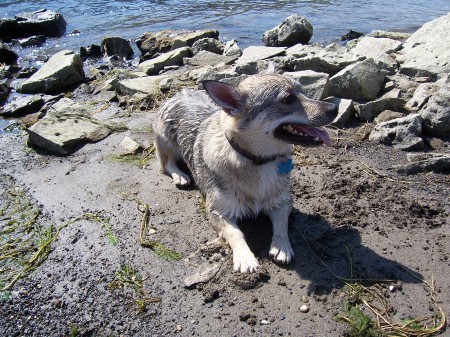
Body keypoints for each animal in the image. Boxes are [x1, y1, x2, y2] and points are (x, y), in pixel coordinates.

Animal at [153, 73, 336, 270]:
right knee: (166, 164)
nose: (335, 107)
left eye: (303, 91)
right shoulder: (217, 212)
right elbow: (236, 233)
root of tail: (179, 93)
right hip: (166, 142)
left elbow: (282, 224)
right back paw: (180, 175)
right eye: (287, 99)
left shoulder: (283, 201)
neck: (258, 161)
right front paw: (245, 257)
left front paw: (281, 246)